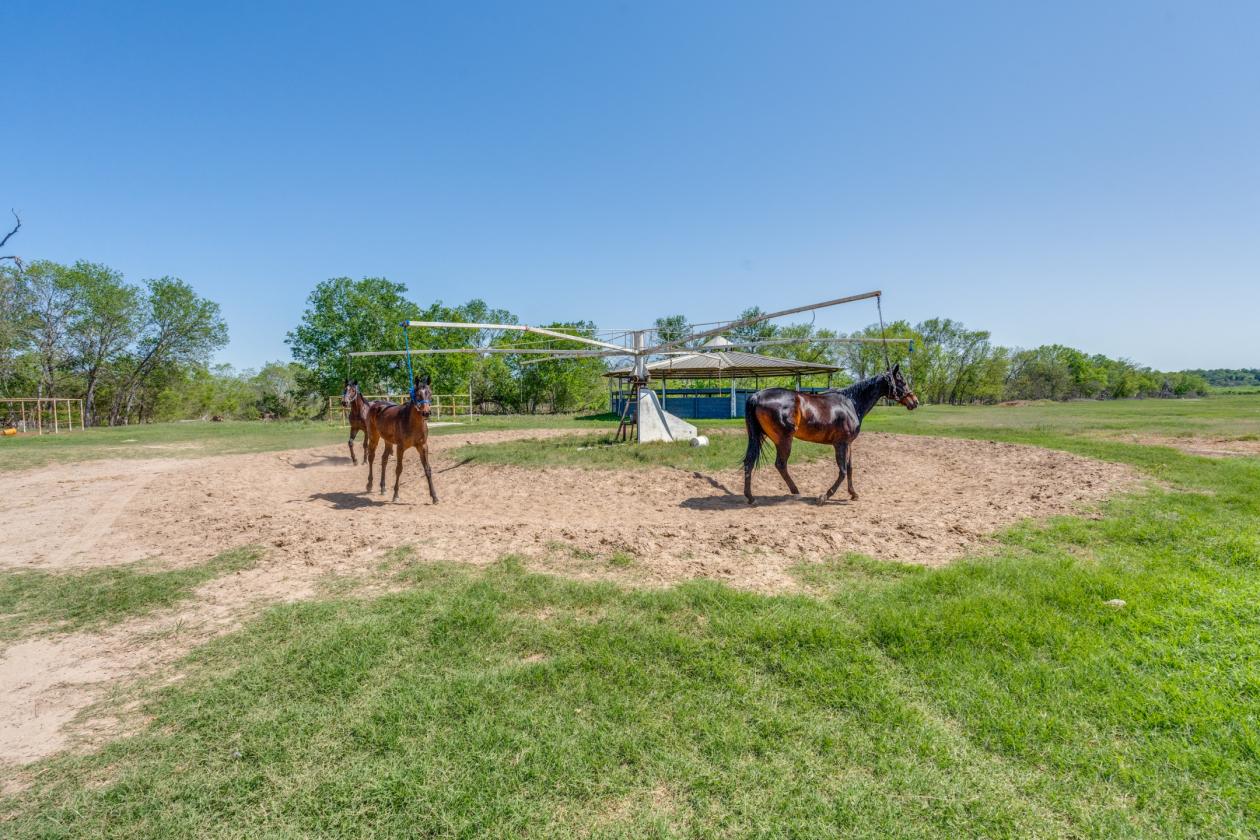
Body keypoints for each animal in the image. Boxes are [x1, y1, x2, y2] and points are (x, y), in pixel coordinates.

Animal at [365, 375, 438, 504]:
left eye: (430, 393)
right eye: (418, 394)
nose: (426, 413)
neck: (412, 422)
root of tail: (376, 404)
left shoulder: (423, 446)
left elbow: (427, 469)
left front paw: (434, 497)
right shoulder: (400, 447)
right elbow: (399, 469)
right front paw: (395, 495)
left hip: (388, 441)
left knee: (384, 459)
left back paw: (382, 487)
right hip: (374, 437)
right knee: (371, 457)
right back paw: (369, 485)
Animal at [742, 364, 919, 505]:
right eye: (902, 381)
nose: (915, 401)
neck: (850, 403)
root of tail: (756, 396)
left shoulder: (848, 444)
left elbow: (850, 468)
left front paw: (853, 494)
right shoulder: (840, 444)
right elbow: (843, 471)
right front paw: (825, 496)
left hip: (759, 437)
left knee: (749, 462)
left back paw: (751, 497)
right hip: (784, 439)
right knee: (780, 464)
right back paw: (795, 492)